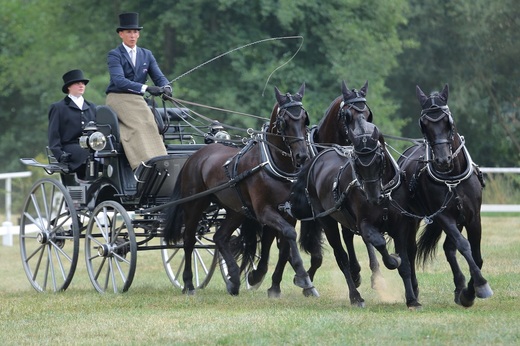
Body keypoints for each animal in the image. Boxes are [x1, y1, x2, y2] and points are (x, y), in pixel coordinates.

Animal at [290, 121, 420, 308]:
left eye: (379, 158)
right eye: (357, 162)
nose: (373, 197)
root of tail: (318, 159)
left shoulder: (400, 225)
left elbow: (405, 264)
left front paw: (412, 300)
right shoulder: (365, 224)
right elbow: (380, 243)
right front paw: (393, 260)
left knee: (348, 237)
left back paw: (356, 274)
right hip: (327, 221)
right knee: (341, 256)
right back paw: (355, 296)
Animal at [398, 85, 492, 306]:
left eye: (448, 122)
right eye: (424, 125)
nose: (442, 160)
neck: (452, 178)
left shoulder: (473, 216)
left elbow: (476, 255)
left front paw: (469, 291)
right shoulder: (443, 216)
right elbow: (464, 246)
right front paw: (479, 285)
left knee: (449, 248)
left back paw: (459, 287)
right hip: (410, 218)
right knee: (411, 250)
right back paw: (414, 291)